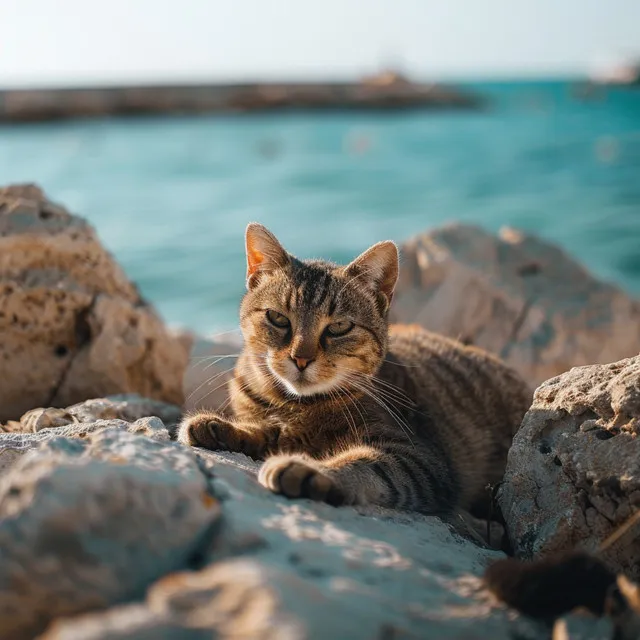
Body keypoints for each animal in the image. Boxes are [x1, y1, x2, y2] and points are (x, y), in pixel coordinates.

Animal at [178, 222, 532, 516]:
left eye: (338, 327)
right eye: (278, 318)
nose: (300, 358)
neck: (297, 405)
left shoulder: (422, 458)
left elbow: (368, 465)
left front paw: (310, 469)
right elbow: (264, 429)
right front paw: (218, 427)